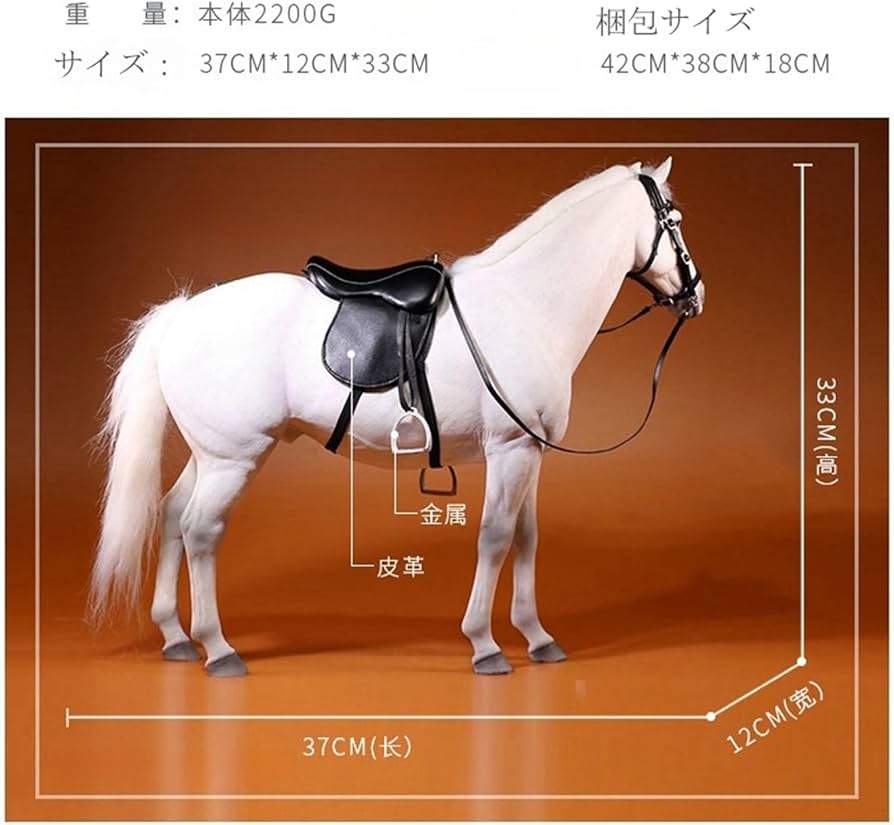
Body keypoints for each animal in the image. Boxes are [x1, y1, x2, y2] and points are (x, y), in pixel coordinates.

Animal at [89, 156, 705, 677]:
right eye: (673, 221)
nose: (695, 295)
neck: (527, 305)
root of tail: (184, 312)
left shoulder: (529, 452)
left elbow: (526, 537)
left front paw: (536, 636)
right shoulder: (508, 449)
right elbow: (495, 537)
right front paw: (484, 644)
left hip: (212, 455)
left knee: (172, 515)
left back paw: (175, 637)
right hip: (232, 461)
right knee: (200, 531)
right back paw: (217, 648)